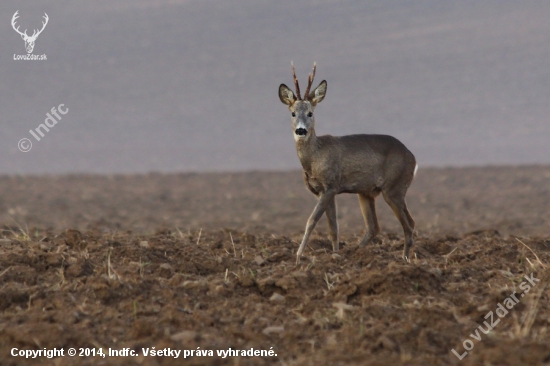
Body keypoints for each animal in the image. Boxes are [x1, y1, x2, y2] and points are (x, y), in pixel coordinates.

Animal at [280, 63, 418, 264]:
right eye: (293, 113)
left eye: (310, 113)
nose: (301, 130)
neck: (314, 158)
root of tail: (412, 158)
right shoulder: (324, 190)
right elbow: (333, 227)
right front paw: (335, 254)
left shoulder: (331, 185)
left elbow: (311, 221)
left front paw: (298, 256)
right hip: (367, 192)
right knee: (375, 226)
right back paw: (357, 252)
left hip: (394, 188)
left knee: (408, 225)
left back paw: (404, 259)